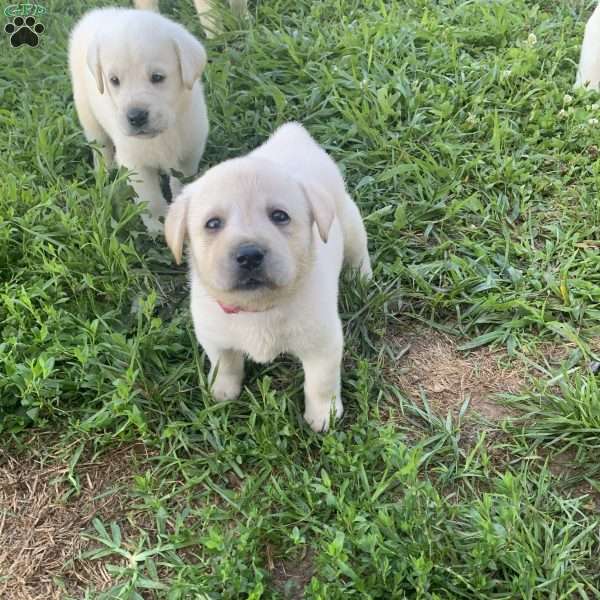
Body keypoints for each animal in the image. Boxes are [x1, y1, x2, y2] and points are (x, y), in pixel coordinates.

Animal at [67, 9, 207, 234]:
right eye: (114, 80)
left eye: (157, 77)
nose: (136, 116)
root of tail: (96, 13)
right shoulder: (135, 164)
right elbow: (150, 199)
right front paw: (158, 225)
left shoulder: (188, 154)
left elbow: (181, 183)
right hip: (87, 112)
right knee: (101, 147)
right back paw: (104, 171)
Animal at [164, 123, 370, 432]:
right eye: (213, 223)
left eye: (279, 216)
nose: (249, 255)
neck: (258, 308)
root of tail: (292, 134)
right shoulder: (214, 336)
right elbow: (225, 364)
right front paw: (222, 391)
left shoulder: (322, 344)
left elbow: (320, 383)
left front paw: (324, 414)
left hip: (349, 220)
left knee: (359, 249)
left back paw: (361, 277)